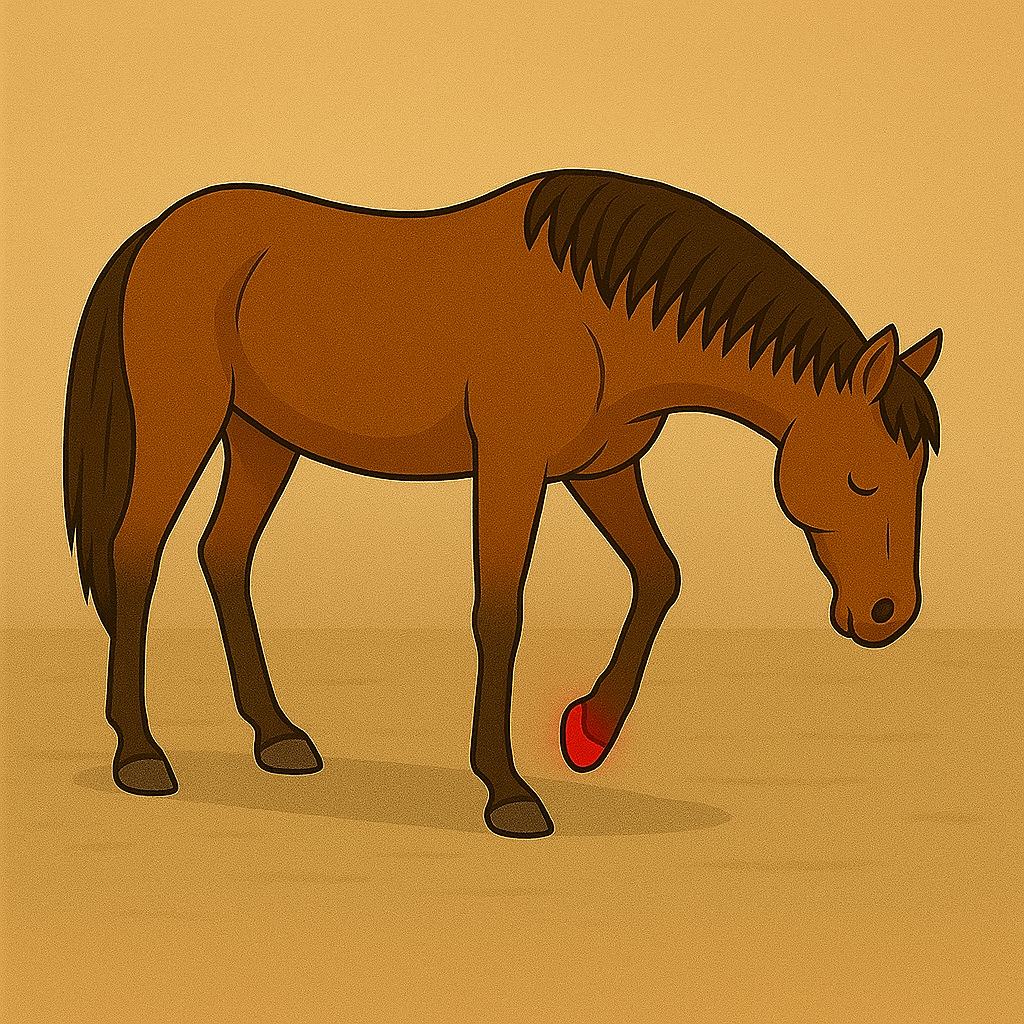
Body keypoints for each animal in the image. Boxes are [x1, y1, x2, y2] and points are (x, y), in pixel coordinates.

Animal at [64, 170, 941, 838]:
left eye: (918, 478)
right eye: (863, 479)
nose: (889, 614)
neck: (601, 312)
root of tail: (158, 231)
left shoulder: (601, 471)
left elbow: (660, 576)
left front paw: (587, 733)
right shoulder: (512, 469)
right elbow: (501, 611)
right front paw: (509, 793)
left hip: (262, 437)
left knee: (224, 554)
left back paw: (277, 736)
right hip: (184, 423)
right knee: (137, 553)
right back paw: (140, 754)